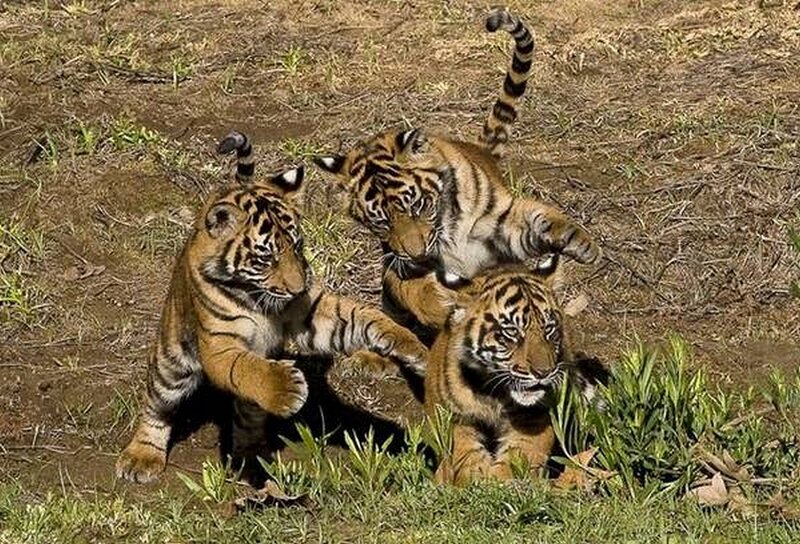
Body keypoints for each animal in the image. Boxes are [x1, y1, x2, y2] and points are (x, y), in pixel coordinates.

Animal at [116, 131, 429, 483]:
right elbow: (245, 368)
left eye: (297, 246)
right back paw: (141, 458)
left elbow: (360, 316)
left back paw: (252, 460)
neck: (256, 296)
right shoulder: (219, 345)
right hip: (172, 361)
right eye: (266, 257)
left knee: (248, 417)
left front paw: (410, 346)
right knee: (157, 404)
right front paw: (287, 388)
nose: (297, 288)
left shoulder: (309, 314)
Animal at [313, 7, 601, 343]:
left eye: (418, 206)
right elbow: (420, 287)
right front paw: (443, 307)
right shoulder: (404, 265)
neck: (448, 228)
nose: (417, 254)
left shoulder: (501, 228)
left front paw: (583, 244)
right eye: (381, 222)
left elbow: (540, 221)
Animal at [425, 256, 607, 486]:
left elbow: (521, 455)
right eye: (511, 332)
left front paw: (503, 483)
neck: (494, 395)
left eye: (548, 328)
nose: (544, 372)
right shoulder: (453, 416)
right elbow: (463, 453)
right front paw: (477, 479)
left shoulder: (535, 416)